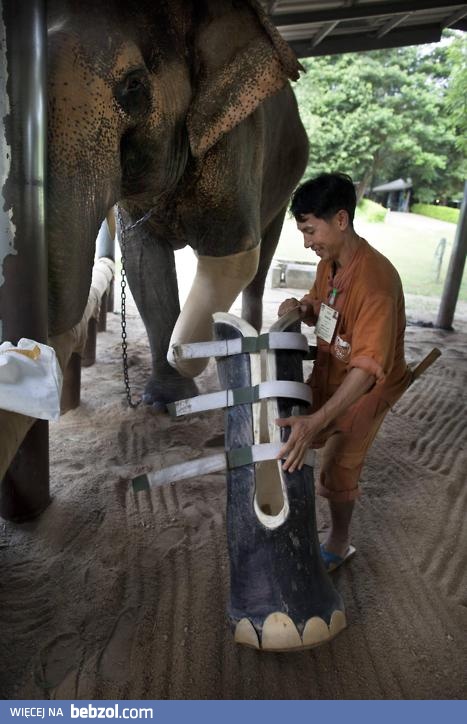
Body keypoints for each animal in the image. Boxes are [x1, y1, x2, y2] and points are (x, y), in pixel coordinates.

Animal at [47, 0, 310, 408]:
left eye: (133, 84)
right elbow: (144, 263)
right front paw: (164, 401)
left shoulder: (237, 138)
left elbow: (233, 255)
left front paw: (193, 354)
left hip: (286, 178)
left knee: (262, 259)